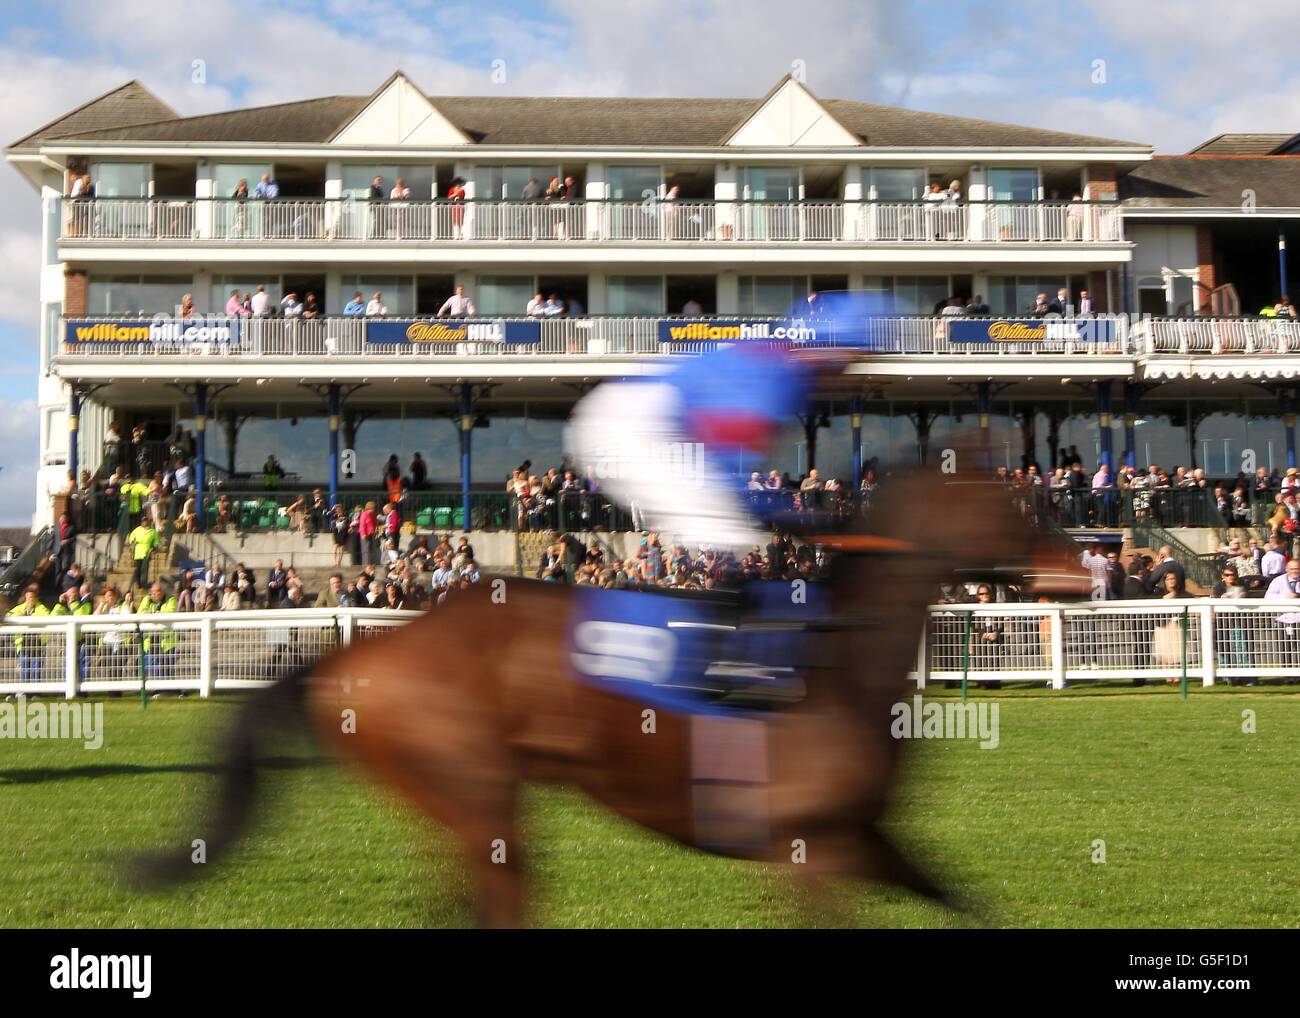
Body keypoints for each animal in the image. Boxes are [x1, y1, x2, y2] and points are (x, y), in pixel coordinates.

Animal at [131, 457, 1071, 925]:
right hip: (473, 788)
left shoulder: (864, 839)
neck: (840, 662)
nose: (1078, 565)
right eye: (1019, 505)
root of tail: (351, 662)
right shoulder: (817, 846)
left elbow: (970, 904)